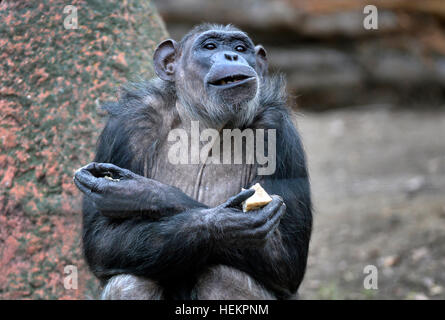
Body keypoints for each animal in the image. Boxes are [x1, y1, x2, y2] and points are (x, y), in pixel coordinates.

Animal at [73, 23, 310, 300]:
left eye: (241, 48)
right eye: (210, 46)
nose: (232, 56)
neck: (206, 124)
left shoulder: (278, 132)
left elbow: (286, 256)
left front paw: (138, 192)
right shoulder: (127, 125)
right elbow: (103, 239)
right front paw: (225, 223)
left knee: (226, 277)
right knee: (129, 280)